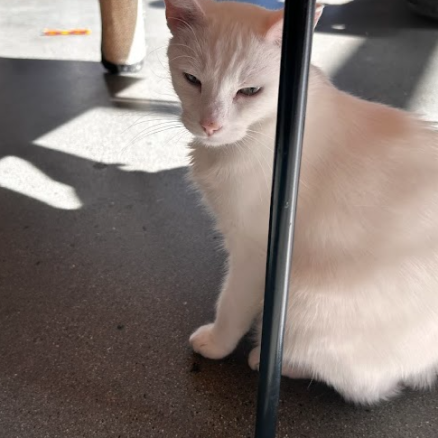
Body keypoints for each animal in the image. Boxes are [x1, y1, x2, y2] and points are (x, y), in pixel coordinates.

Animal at [163, 0, 438, 404]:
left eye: (249, 91)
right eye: (192, 79)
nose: (211, 125)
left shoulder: (256, 253)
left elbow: (231, 303)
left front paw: (216, 343)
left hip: (306, 303)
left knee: (367, 385)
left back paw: (270, 358)